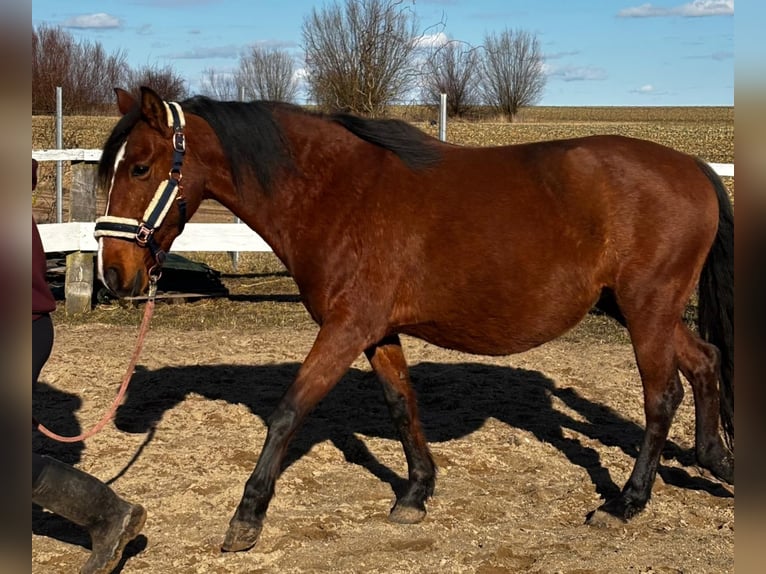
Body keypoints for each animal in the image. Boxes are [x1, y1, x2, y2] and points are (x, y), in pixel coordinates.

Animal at [94, 86, 733, 552]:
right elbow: (403, 406)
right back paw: (716, 459)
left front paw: (246, 516)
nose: (115, 274)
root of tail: (693, 167)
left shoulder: (345, 327)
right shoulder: (377, 332)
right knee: (706, 362)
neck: (337, 193)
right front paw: (416, 494)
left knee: (662, 397)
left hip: (648, 310)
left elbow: (288, 412)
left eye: (141, 167)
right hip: (641, 310)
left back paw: (627, 502)